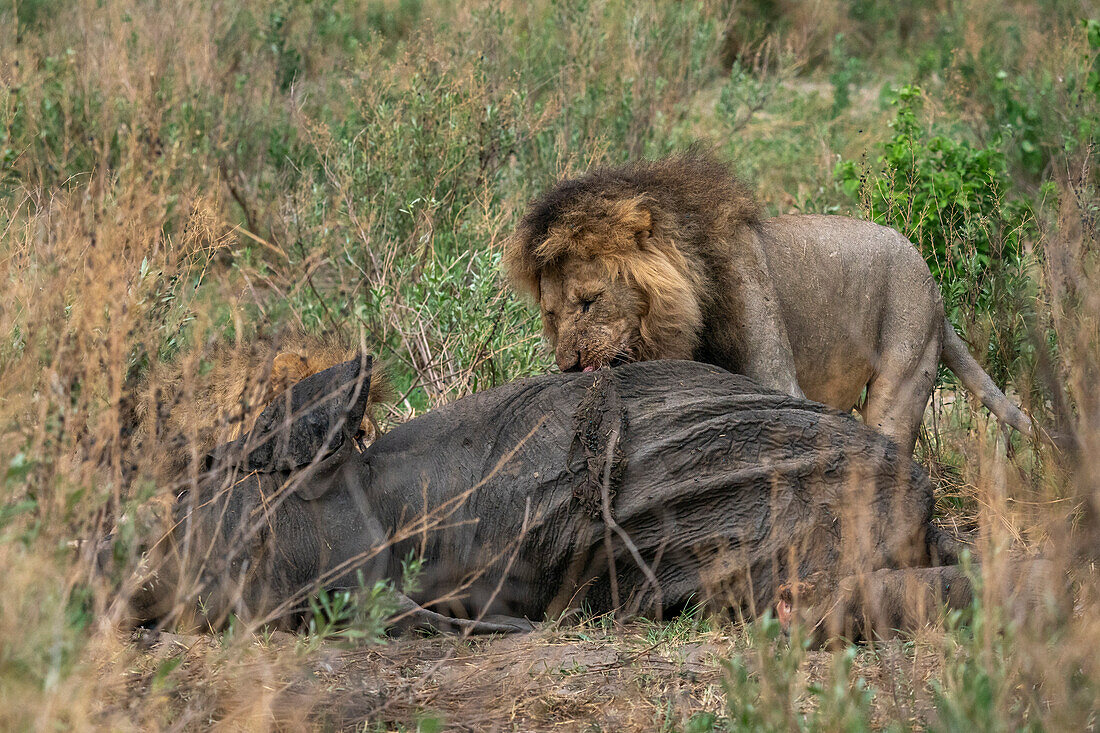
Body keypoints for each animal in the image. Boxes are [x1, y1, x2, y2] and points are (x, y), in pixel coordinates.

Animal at [503, 150, 1034, 453]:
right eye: (550, 316)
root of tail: (936, 290)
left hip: (904, 370)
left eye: (589, 301)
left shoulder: (778, 383)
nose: (569, 366)